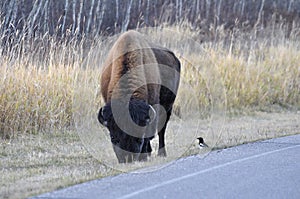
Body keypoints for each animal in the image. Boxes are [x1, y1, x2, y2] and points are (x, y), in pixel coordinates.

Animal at [98, 29, 180, 163]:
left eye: (139, 138)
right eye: (113, 137)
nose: (128, 159)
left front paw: (145, 155)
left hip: (168, 107)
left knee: (161, 130)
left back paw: (161, 153)